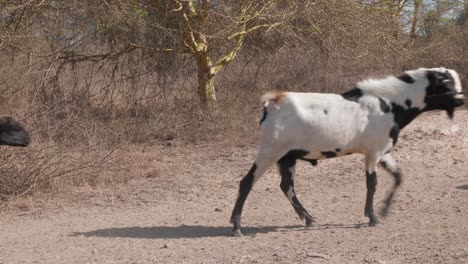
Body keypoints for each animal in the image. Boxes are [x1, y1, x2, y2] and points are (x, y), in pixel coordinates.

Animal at [229, 67, 464, 236]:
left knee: (286, 186)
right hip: (271, 150)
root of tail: (274, 101)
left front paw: (384, 210)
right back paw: (237, 226)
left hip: (288, 157)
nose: (462, 99)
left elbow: (398, 177)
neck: (390, 103)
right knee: (247, 182)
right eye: (446, 84)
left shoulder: (384, 151)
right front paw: (372, 217)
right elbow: (372, 184)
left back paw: (309, 218)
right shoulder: (373, 152)